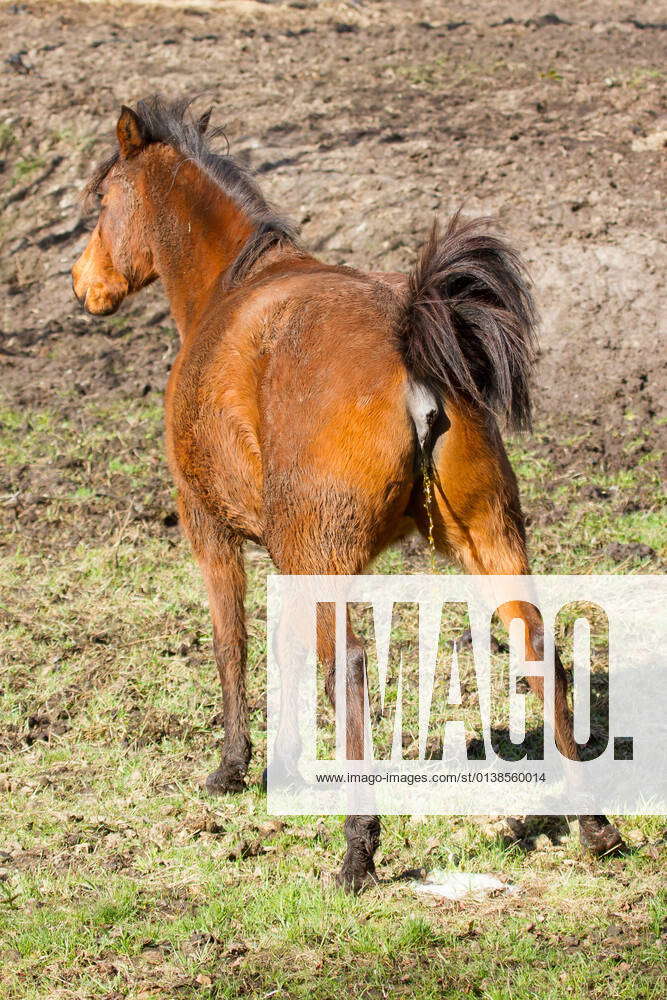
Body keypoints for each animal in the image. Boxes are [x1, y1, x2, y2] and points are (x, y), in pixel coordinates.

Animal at [72, 97, 624, 891]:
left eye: (103, 200)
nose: (83, 282)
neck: (231, 288)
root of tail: (411, 346)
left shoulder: (210, 530)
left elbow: (232, 643)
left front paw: (233, 767)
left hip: (326, 556)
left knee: (353, 668)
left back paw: (358, 847)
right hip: (487, 537)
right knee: (536, 647)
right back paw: (593, 823)